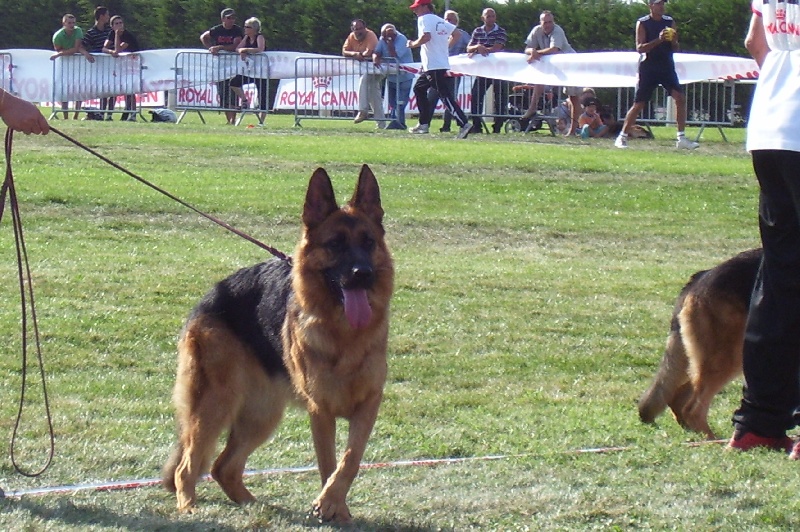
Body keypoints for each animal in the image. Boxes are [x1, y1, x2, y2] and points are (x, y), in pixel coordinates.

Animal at [163, 164, 396, 520]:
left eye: (368, 242)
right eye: (336, 244)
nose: (363, 274)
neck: (344, 334)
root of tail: (209, 296)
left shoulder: (368, 405)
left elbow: (349, 461)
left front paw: (335, 506)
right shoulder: (321, 411)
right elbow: (329, 464)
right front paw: (329, 506)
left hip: (261, 415)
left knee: (222, 467)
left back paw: (252, 505)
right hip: (216, 404)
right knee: (187, 466)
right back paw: (189, 507)